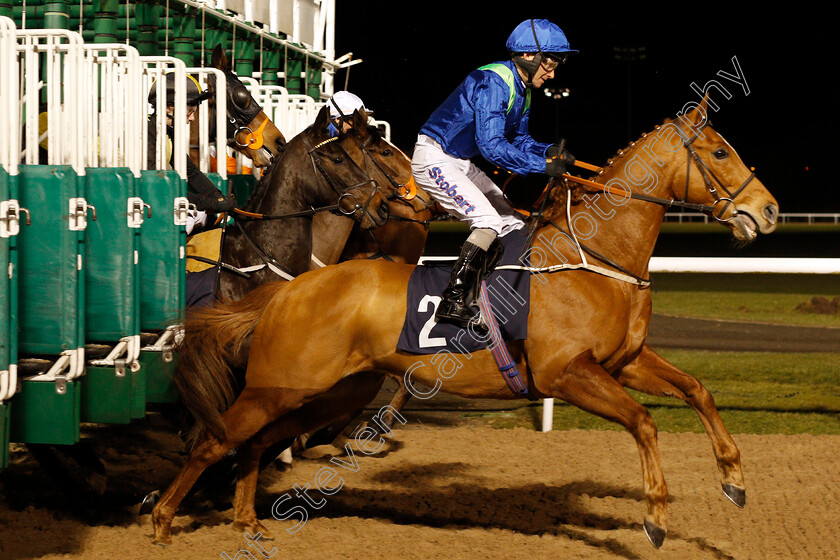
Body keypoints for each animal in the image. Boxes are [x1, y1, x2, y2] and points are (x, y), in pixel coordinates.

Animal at [153, 100, 780, 548]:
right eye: (719, 153)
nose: (769, 210)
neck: (595, 254)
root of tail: (289, 287)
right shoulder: (565, 374)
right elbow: (644, 422)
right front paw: (655, 515)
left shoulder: (622, 362)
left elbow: (696, 390)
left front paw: (734, 478)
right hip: (280, 385)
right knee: (216, 439)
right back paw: (161, 518)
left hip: (330, 392)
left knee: (257, 441)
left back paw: (245, 519)